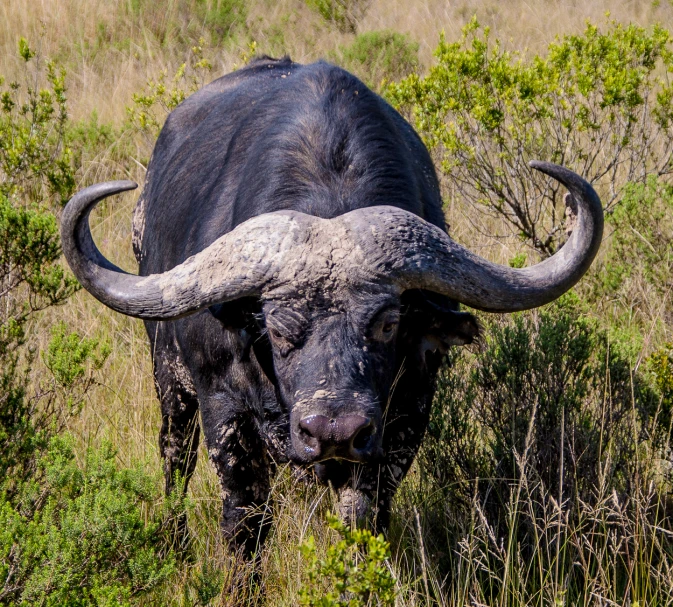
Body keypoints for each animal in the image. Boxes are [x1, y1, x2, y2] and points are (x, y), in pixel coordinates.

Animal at [60, 55, 600, 556]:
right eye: (277, 330)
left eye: (387, 325)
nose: (334, 431)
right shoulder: (224, 412)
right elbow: (245, 523)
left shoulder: (404, 417)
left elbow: (360, 517)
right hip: (169, 382)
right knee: (175, 455)